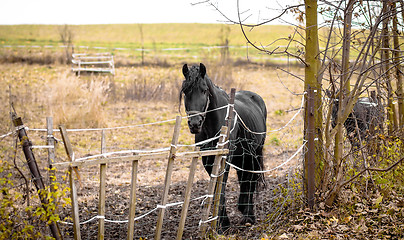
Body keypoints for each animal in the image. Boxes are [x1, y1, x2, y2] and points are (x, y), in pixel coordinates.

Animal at [180, 63, 266, 231]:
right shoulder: (208, 160)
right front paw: (220, 221)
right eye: (185, 91)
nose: (195, 124)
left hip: (255, 153)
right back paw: (243, 208)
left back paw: (249, 216)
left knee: (251, 179)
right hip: (242, 155)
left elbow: (222, 186)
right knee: (244, 178)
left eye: (204, 90)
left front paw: (223, 223)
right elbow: (215, 187)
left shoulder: (224, 159)